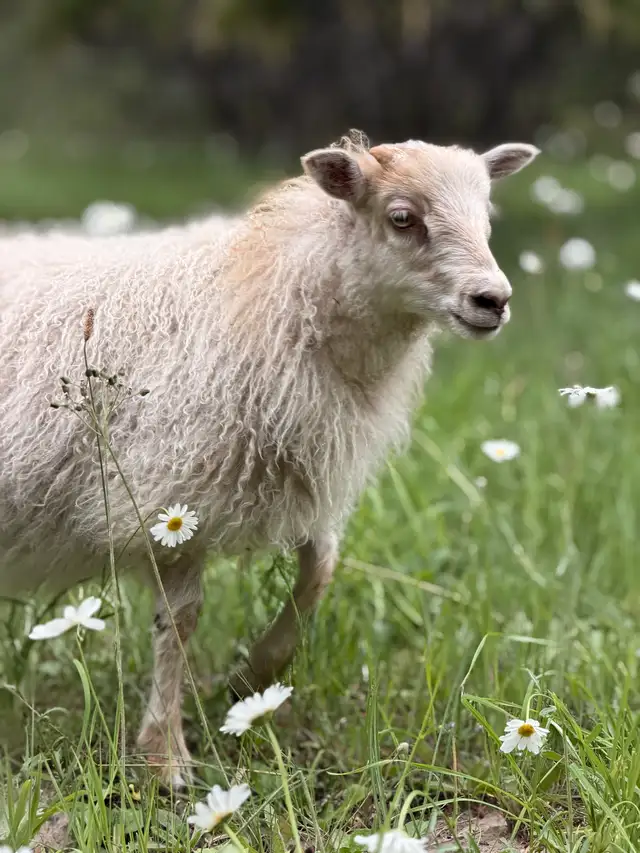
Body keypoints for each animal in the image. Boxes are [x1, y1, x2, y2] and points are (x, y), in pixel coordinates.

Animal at [0, 130, 538, 786]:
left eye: (486, 215)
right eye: (402, 218)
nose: (493, 300)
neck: (274, 294)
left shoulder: (292, 472)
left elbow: (320, 569)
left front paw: (251, 677)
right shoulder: (170, 492)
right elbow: (179, 623)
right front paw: (164, 756)